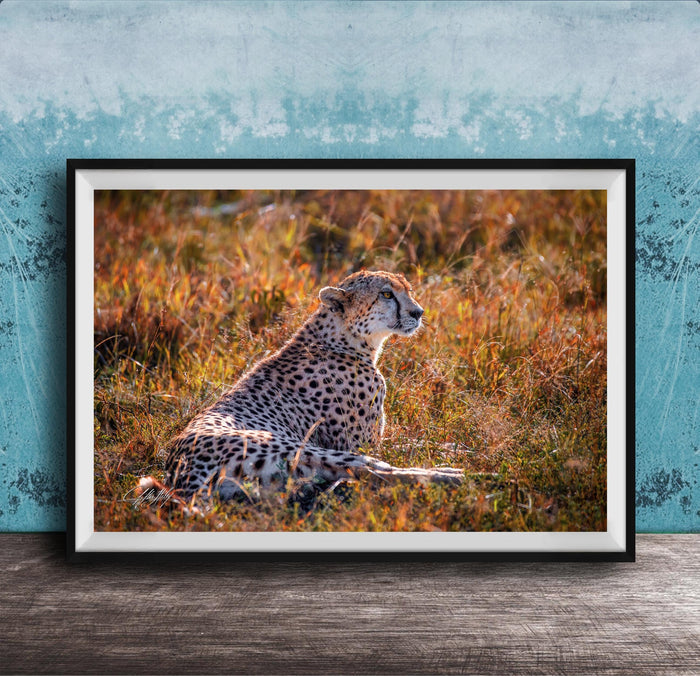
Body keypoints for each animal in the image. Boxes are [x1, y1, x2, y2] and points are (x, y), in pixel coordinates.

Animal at [146, 270, 463, 503]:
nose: (418, 312)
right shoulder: (360, 443)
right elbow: (399, 449)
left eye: (408, 289)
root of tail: (180, 471)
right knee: (371, 470)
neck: (342, 339)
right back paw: (452, 475)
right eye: (386, 294)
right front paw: (453, 454)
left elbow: (416, 441)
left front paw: (451, 445)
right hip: (300, 448)